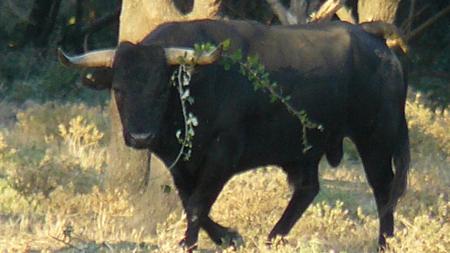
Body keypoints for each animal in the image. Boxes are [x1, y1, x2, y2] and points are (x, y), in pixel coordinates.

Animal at [59, 19, 412, 249]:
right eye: (118, 89)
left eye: (161, 89)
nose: (141, 137)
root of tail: (373, 38)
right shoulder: (179, 163)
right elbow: (190, 201)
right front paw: (228, 236)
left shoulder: (222, 154)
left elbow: (198, 203)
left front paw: (190, 242)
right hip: (304, 150)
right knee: (307, 189)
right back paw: (272, 238)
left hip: (376, 138)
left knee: (384, 189)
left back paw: (385, 242)